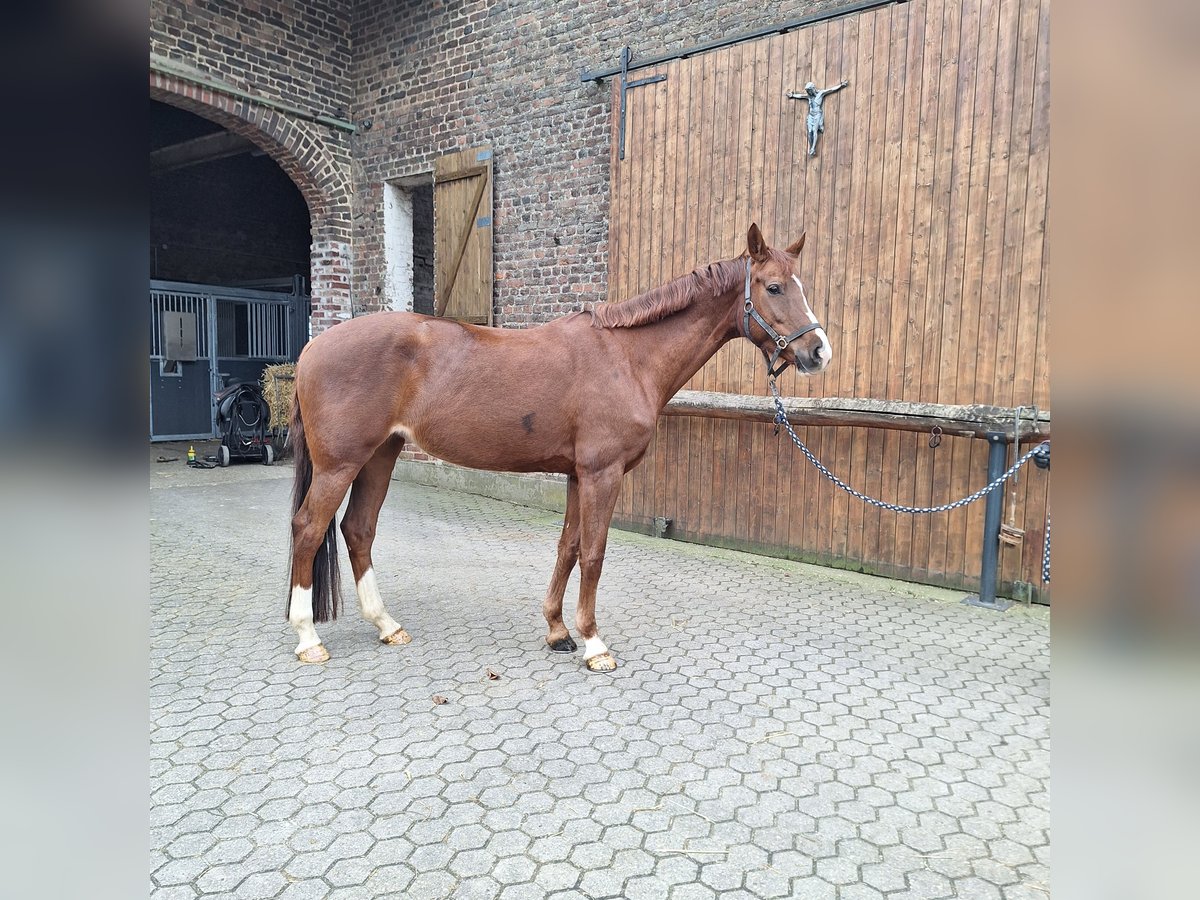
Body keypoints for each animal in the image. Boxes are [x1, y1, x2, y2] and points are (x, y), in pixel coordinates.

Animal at [285, 224, 830, 672]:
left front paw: (557, 631)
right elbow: (593, 552)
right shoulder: (602, 473)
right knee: (308, 529)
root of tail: (312, 347)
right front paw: (594, 644)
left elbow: (567, 547)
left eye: (801, 285)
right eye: (774, 287)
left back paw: (387, 625)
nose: (818, 351)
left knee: (358, 530)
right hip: (340, 465)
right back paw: (308, 638)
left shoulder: (575, 474)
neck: (627, 358)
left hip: (381, 455)